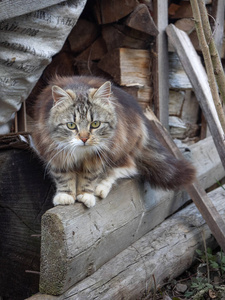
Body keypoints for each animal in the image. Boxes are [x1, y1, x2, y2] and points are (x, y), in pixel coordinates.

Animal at [31, 75, 195, 207]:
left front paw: (86, 194)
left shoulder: (99, 156)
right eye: (71, 125)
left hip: (122, 147)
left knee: (127, 167)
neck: (81, 154)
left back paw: (101, 187)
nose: (84, 138)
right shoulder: (53, 152)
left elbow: (90, 176)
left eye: (95, 124)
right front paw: (65, 195)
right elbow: (63, 176)